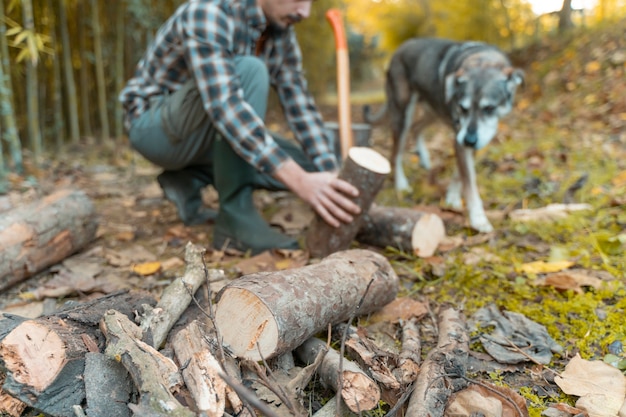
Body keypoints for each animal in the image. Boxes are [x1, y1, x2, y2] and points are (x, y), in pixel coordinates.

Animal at [364, 37, 524, 232]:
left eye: (489, 108)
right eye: (463, 107)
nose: (469, 140)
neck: (482, 59)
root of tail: (400, 48)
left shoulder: (472, 141)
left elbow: (460, 175)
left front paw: (452, 199)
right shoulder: (460, 137)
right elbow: (469, 182)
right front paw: (478, 219)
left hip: (434, 110)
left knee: (417, 128)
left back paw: (424, 158)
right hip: (403, 114)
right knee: (396, 154)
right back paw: (401, 185)